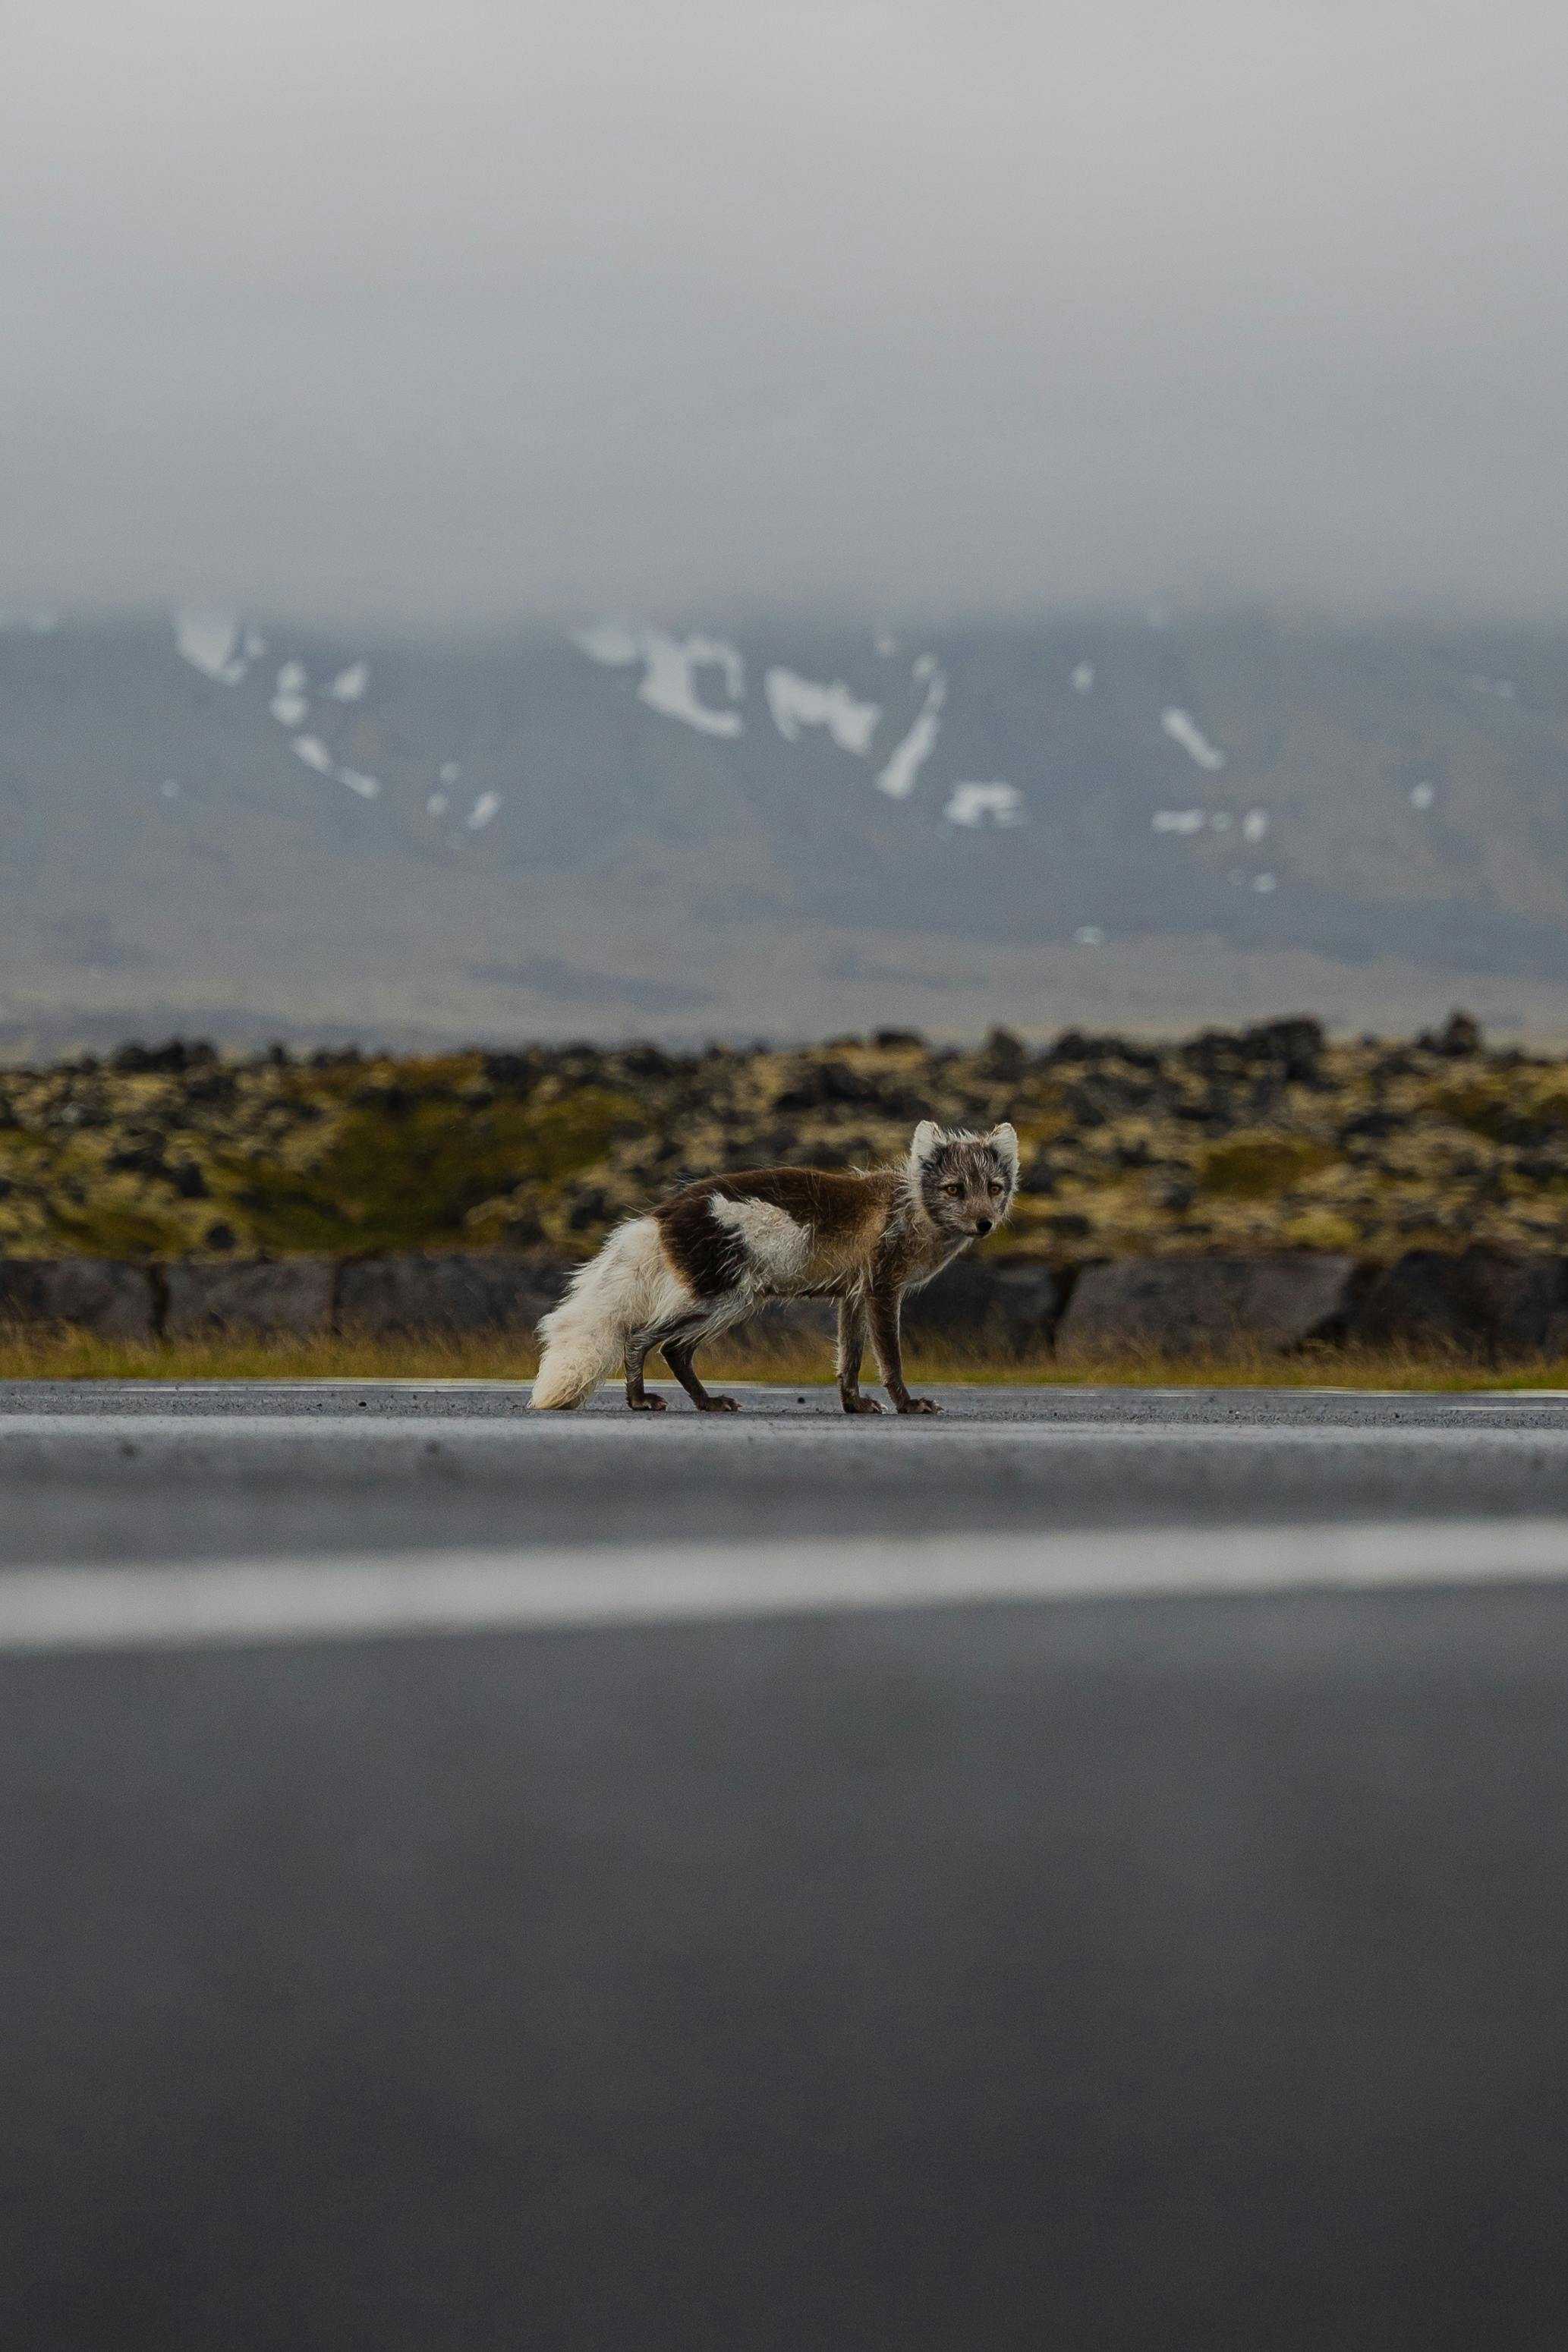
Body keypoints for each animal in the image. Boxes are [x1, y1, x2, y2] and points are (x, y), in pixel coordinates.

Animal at [531, 1119, 1020, 1411]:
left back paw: (707, 1403)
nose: (985, 1224)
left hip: (734, 1302)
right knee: (642, 1338)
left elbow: (850, 1360)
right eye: (954, 1189)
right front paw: (907, 1404)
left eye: (994, 1188)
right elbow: (890, 1359)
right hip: (725, 1297)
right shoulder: (883, 1289)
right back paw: (639, 1400)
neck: (912, 1209)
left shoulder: (853, 1294)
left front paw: (854, 1406)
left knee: (675, 1350)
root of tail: (662, 1213)